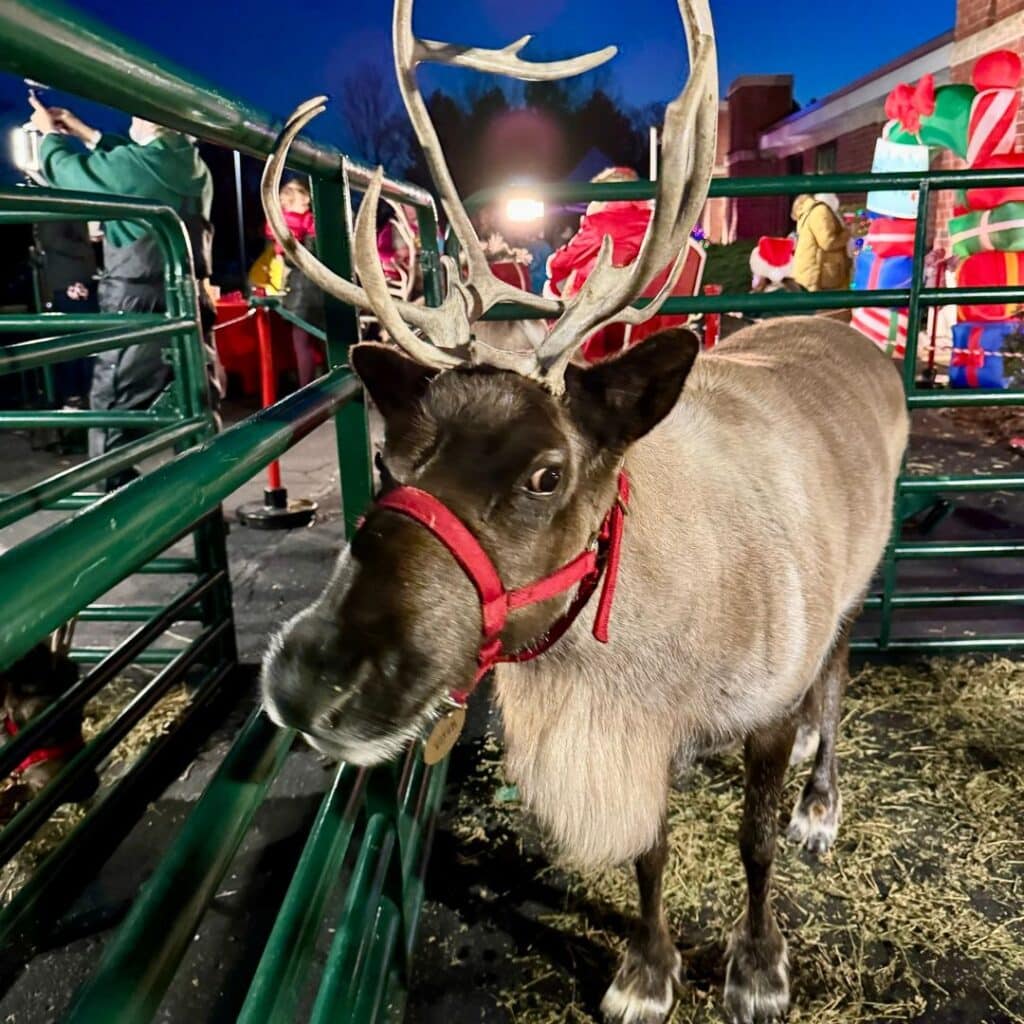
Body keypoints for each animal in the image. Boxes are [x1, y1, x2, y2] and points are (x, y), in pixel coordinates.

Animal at [259, 2, 909, 1021]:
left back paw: (820, 798)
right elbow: (648, 849)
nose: (308, 675)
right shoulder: (637, 740)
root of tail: (853, 339)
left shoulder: (756, 704)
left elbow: (754, 842)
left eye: (546, 474)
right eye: (389, 458)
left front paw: (758, 966)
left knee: (835, 683)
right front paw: (647, 969)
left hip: (858, 574)